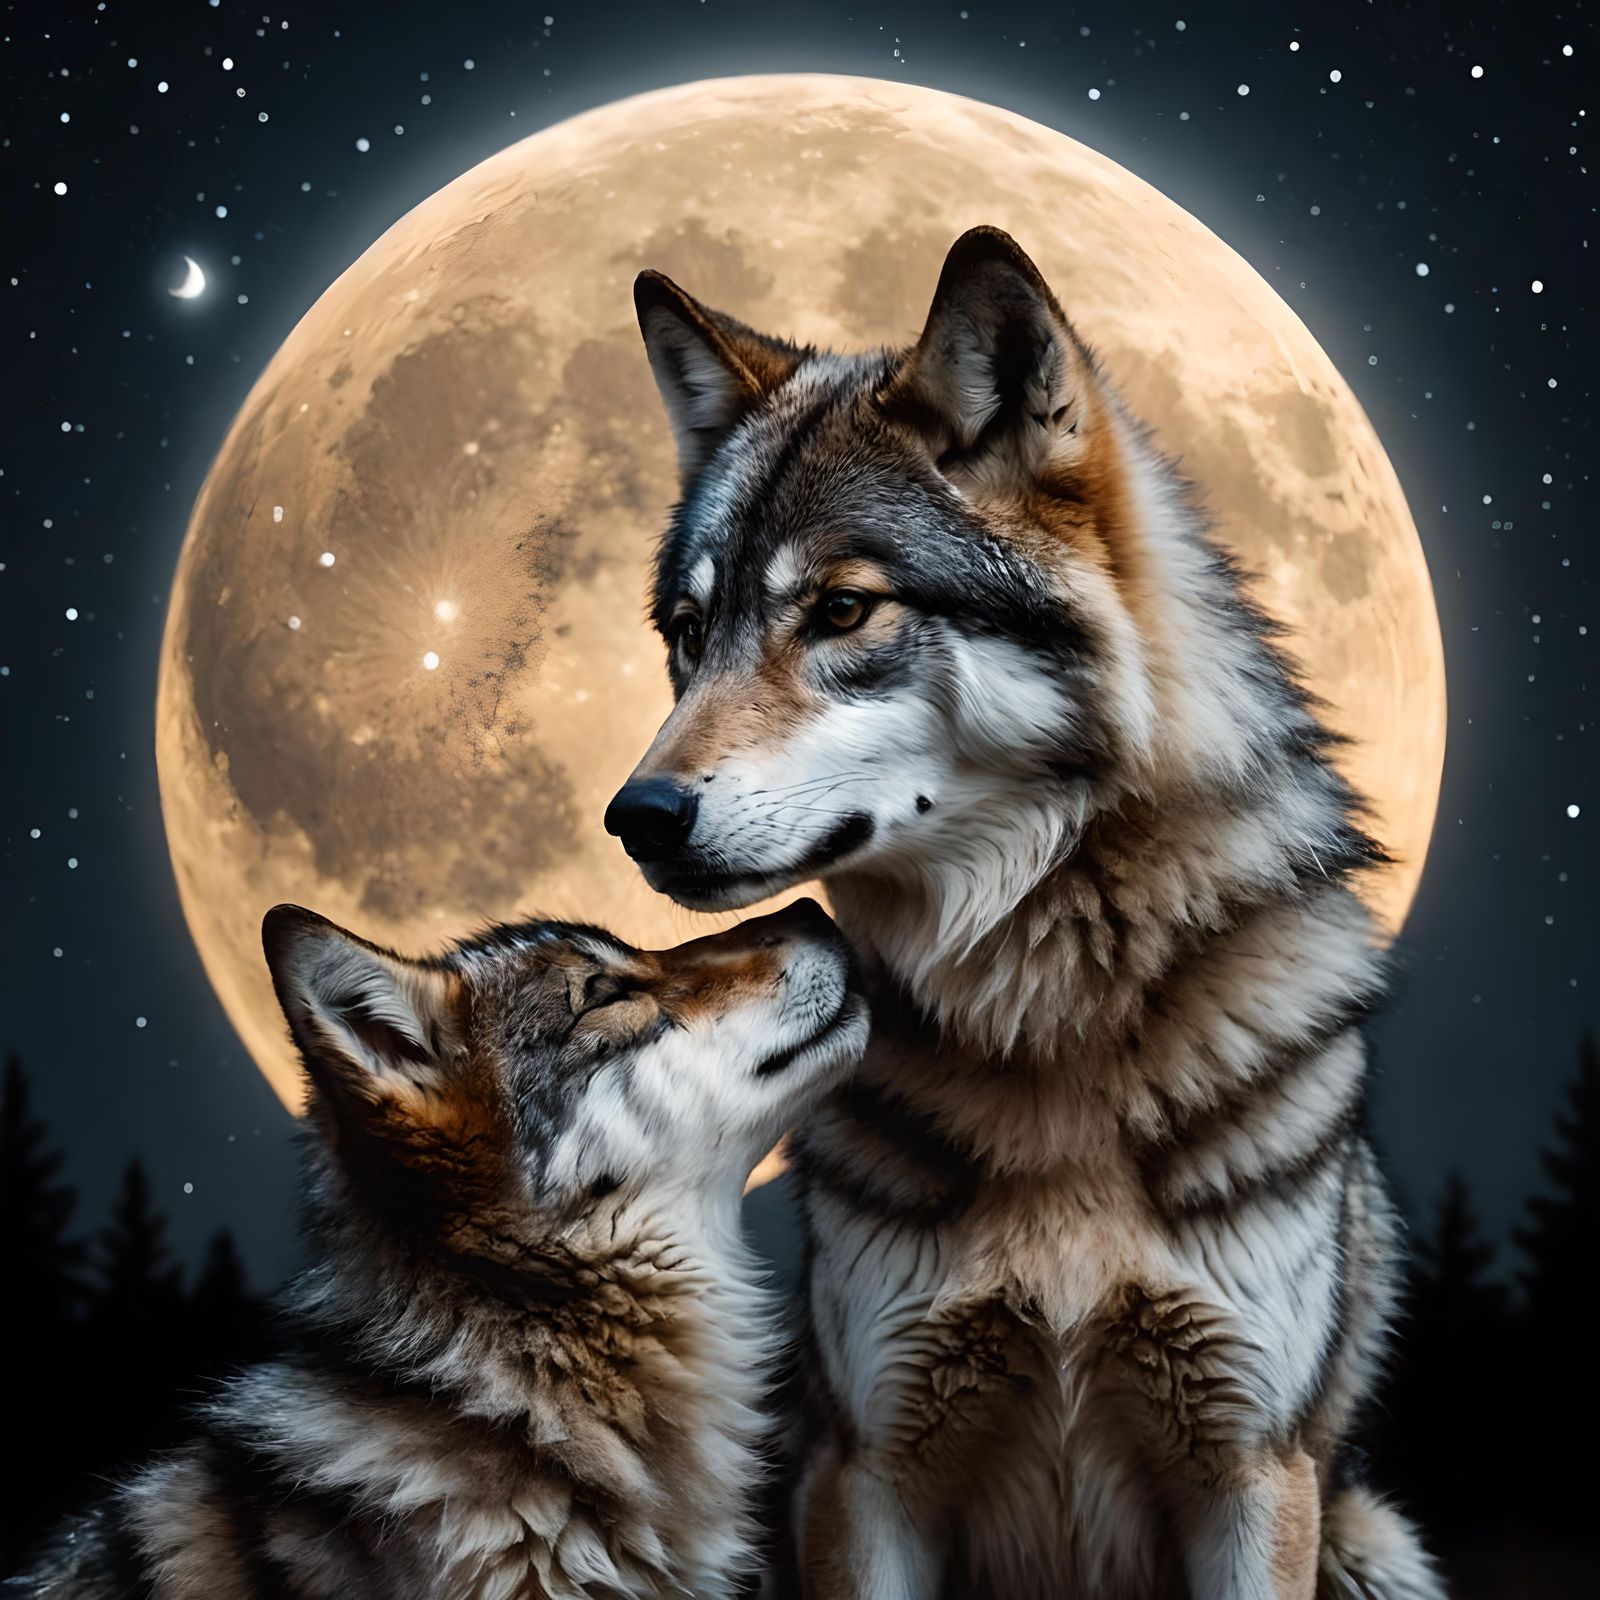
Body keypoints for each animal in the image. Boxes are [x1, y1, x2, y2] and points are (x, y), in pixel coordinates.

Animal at [606, 227, 1443, 1598]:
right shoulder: (867, 1470)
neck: (1044, 1013)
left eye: (842, 609)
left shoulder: (1252, 1472)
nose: (636, 815)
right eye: (687, 632)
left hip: (1372, 1540)